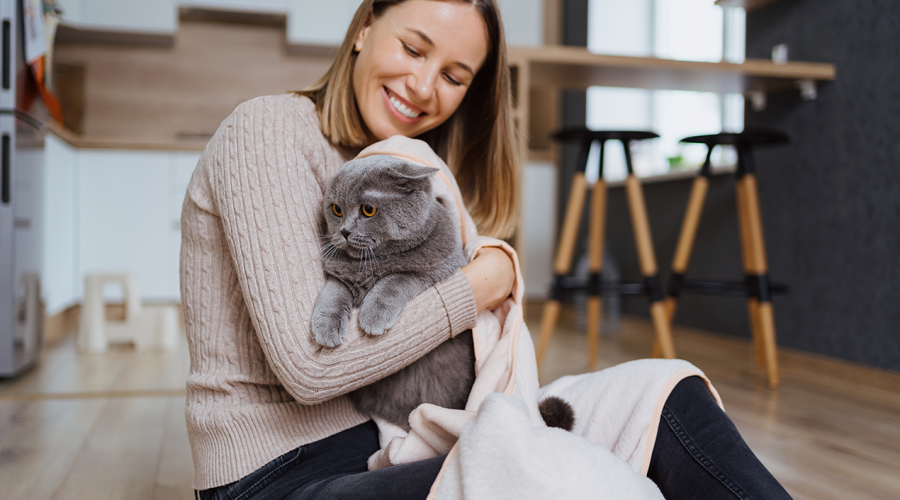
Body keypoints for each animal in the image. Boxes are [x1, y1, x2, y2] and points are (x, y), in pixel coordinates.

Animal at [312, 156, 474, 430]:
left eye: (368, 209)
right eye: (336, 209)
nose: (344, 231)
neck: (370, 263)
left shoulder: (435, 271)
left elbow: (394, 280)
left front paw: (373, 317)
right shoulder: (339, 276)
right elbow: (334, 294)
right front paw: (327, 328)